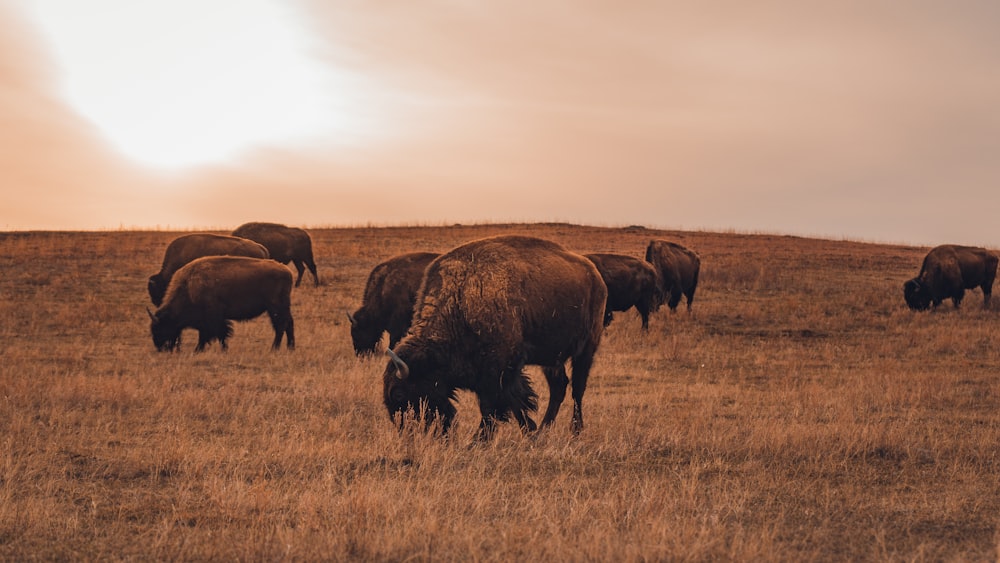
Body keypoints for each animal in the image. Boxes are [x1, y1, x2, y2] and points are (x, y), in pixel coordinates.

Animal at [148, 256, 294, 352]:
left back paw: (274, 349)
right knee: (289, 323)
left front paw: (204, 350)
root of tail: (286, 270)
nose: (160, 348)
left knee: (281, 325)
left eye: (161, 328)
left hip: (275, 307)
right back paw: (290, 348)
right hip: (281, 307)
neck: (188, 287)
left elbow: (217, 333)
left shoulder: (213, 317)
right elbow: (212, 333)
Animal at [380, 236, 600, 438]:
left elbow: (494, 405)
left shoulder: (499, 370)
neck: (461, 300)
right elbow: (514, 402)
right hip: (552, 357)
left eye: (399, 394)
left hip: (586, 348)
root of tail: (594, 274)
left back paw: (576, 430)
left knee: (578, 387)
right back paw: (544, 430)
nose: (405, 431)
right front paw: (529, 432)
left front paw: (478, 440)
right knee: (559, 386)